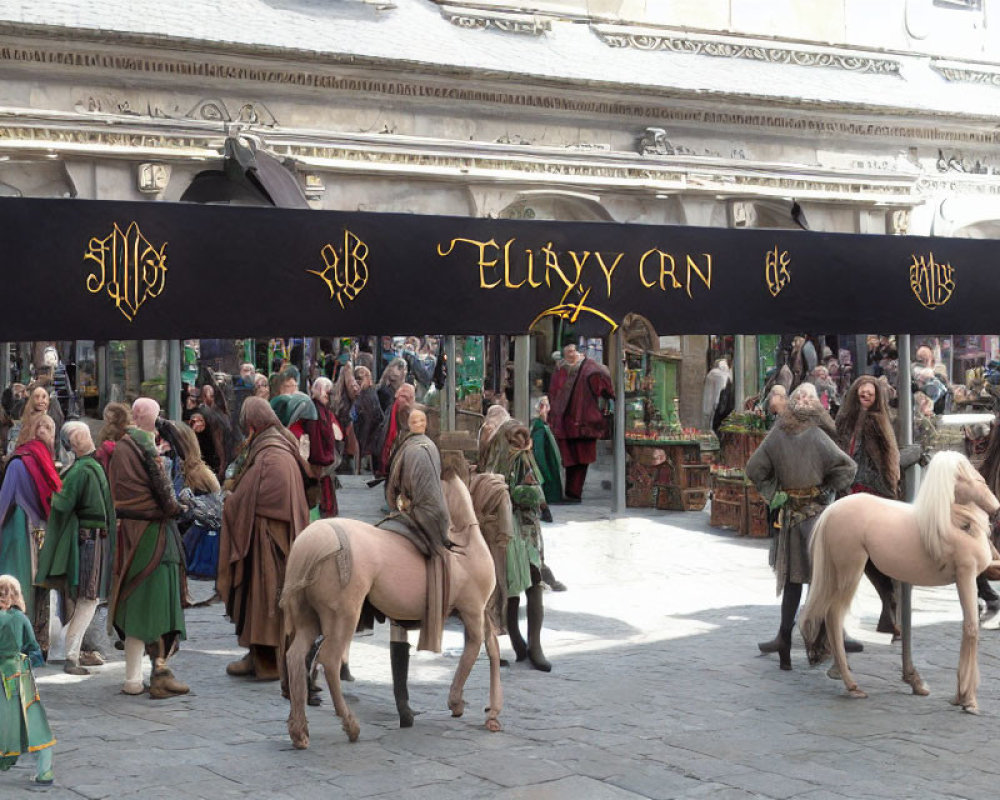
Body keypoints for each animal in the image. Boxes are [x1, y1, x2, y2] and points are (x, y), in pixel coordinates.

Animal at [280, 472, 500, 748]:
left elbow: (490, 647)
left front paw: (491, 712)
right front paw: (457, 702)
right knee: (329, 659)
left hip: (309, 618)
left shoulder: (475, 613)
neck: (465, 544)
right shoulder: (472, 610)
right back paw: (350, 725)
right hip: (343, 616)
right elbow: (474, 649)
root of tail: (309, 547)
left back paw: (299, 731)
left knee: (296, 657)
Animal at [800, 450, 1000, 712]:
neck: (954, 523)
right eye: (964, 477)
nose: (994, 505)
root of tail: (831, 512)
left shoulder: (969, 577)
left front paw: (960, 695)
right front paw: (967, 699)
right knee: (834, 615)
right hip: (850, 570)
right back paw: (851, 684)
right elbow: (971, 628)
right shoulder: (966, 575)